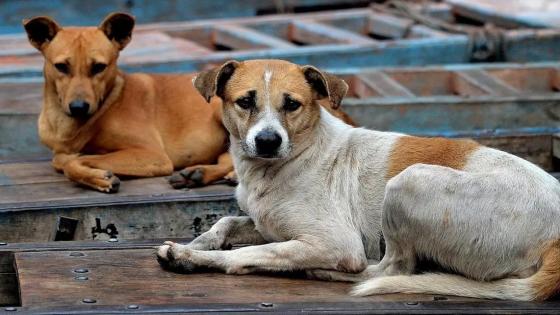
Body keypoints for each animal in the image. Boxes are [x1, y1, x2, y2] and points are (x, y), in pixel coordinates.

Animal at [24, 12, 356, 193]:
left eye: (99, 67)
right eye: (61, 66)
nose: (79, 107)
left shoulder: (152, 155)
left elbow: (69, 161)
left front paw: (98, 176)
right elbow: (63, 158)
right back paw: (198, 174)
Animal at [156, 59, 560, 302]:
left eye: (292, 104)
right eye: (245, 102)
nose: (268, 141)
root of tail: (555, 238)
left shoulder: (335, 241)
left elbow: (245, 254)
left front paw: (192, 256)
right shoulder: (266, 223)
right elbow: (226, 222)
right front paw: (201, 242)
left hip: (408, 183)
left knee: (390, 268)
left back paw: (320, 271)